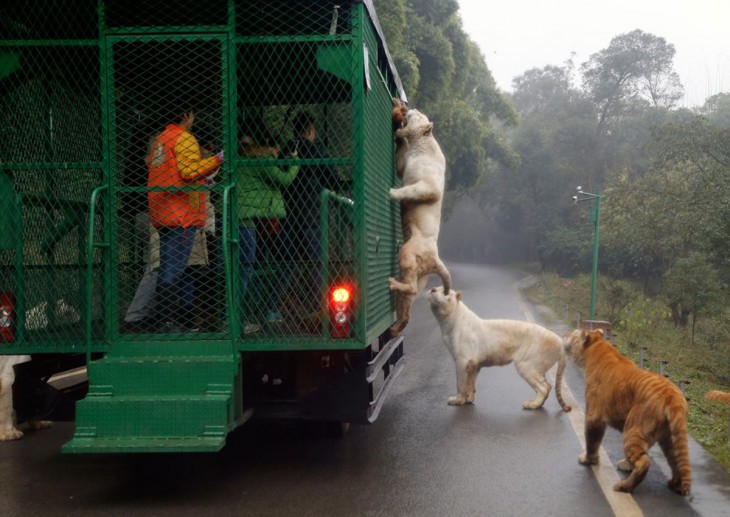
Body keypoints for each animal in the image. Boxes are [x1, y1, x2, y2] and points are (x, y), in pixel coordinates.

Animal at [386, 106, 450, 336]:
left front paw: (392, 192)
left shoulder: (429, 182)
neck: (424, 144)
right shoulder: (407, 160)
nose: (410, 107)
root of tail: (436, 259)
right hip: (422, 272)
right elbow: (399, 166)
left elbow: (417, 189)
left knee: (409, 278)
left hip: (414, 249)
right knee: (408, 298)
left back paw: (393, 283)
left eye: (421, 115)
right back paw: (396, 328)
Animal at [560, 328, 692, 494]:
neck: (597, 347)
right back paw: (674, 484)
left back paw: (623, 486)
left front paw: (588, 460)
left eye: (573, 334)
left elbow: (592, 440)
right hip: (669, 437)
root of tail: (673, 396)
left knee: (643, 462)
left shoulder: (593, 415)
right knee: (675, 461)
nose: (564, 335)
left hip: (634, 428)